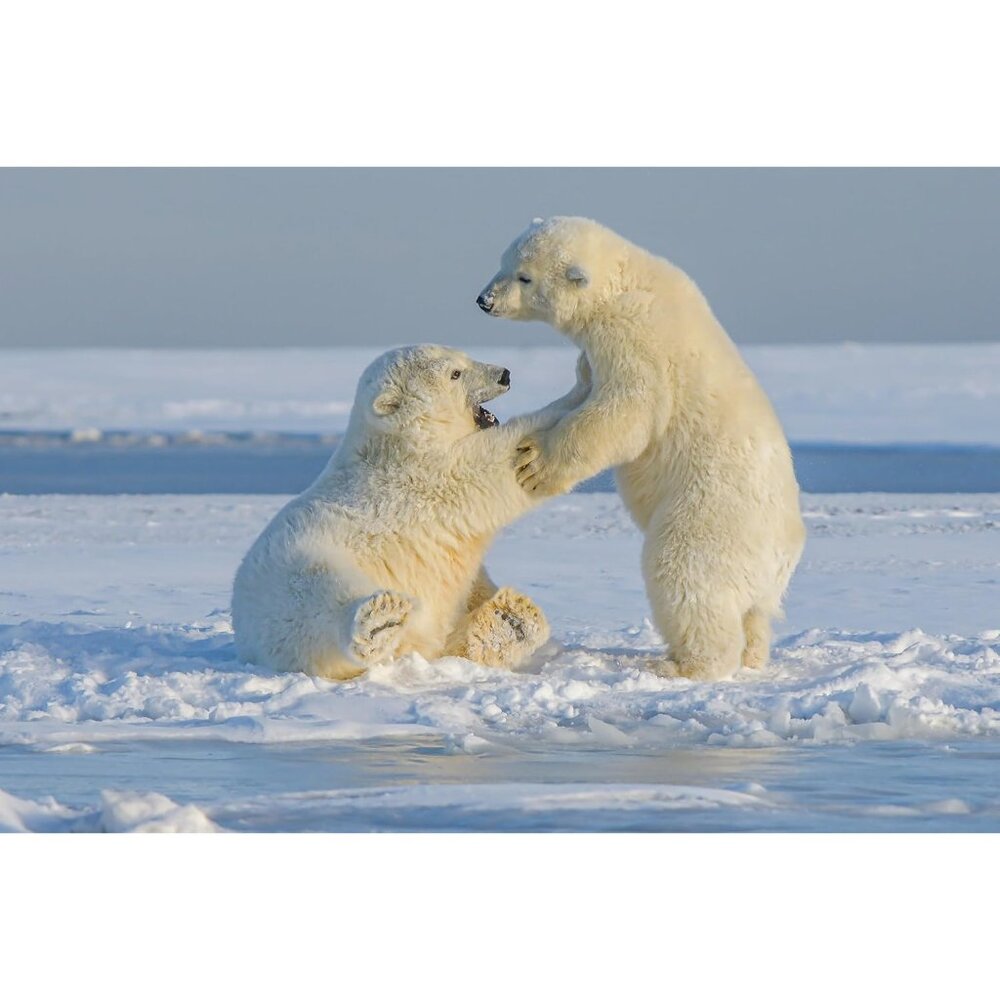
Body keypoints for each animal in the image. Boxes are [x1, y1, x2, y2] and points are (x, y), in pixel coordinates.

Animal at [232, 344, 583, 681]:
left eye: (465, 356)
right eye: (455, 373)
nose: (504, 374)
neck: (396, 442)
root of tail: (245, 634)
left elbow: (469, 584)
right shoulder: (426, 476)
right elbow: (492, 463)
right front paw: (581, 390)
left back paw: (510, 617)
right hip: (298, 569)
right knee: (322, 598)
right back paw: (380, 621)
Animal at [477, 216, 806, 680]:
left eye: (525, 276)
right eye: (504, 262)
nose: (484, 300)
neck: (627, 280)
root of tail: (783, 555)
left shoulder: (635, 338)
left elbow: (626, 410)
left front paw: (534, 464)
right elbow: (587, 387)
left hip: (710, 517)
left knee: (683, 576)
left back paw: (681, 664)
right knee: (754, 614)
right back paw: (752, 656)